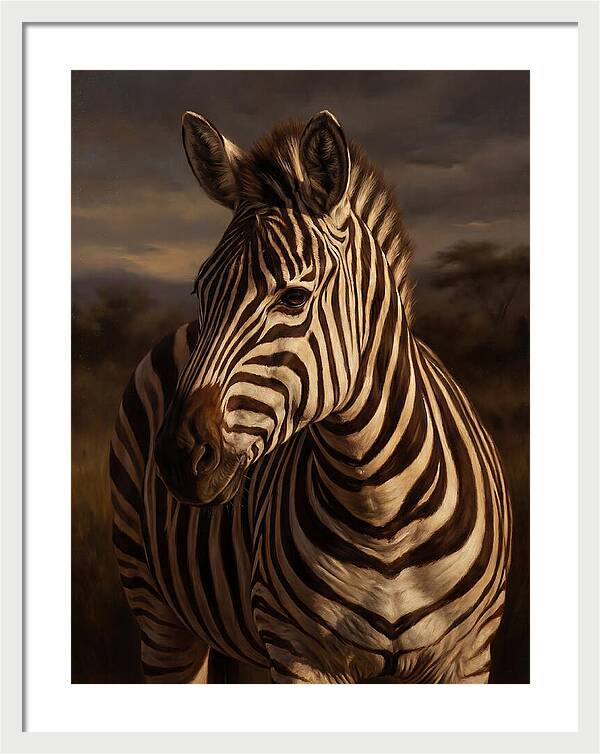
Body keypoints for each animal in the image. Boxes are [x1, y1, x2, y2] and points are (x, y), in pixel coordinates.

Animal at [110, 110, 512, 684]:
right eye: (200, 291)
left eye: (295, 297)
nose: (178, 456)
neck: (380, 511)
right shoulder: (300, 653)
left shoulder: (467, 657)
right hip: (158, 610)